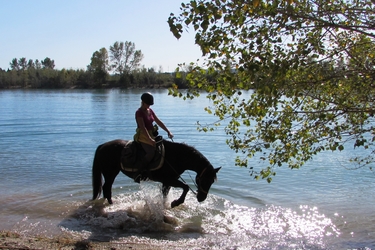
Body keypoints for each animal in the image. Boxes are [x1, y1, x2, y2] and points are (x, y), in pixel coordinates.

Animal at [92, 140, 220, 208]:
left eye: (212, 181)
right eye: (205, 180)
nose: (202, 198)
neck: (177, 157)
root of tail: (102, 146)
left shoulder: (167, 182)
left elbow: (165, 195)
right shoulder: (169, 180)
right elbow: (186, 187)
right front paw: (176, 203)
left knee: (106, 188)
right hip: (110, 173)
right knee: (107, 188)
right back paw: (111, 204)